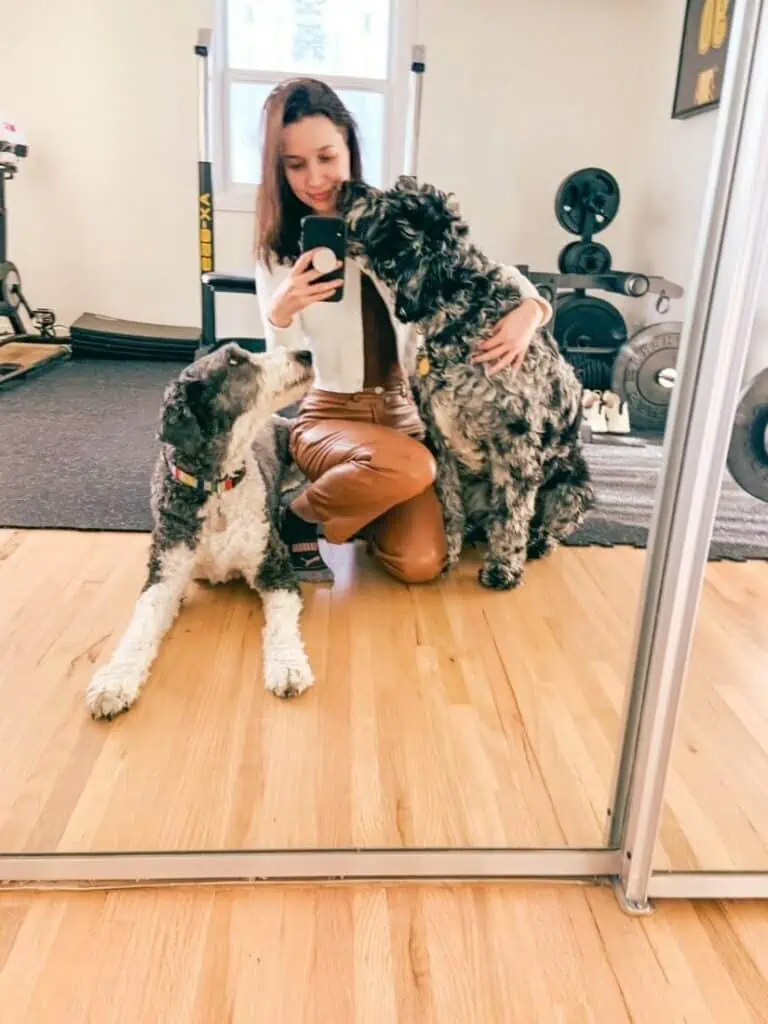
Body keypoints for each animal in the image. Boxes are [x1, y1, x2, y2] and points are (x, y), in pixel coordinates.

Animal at [88, 344, 317, 720]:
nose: (305, 352)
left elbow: (281, 624)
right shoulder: (166, 574)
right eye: (235, 359)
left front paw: (287, 666)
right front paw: (114, 682)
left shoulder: (274, 567)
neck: (216, 486)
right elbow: (141, 624)